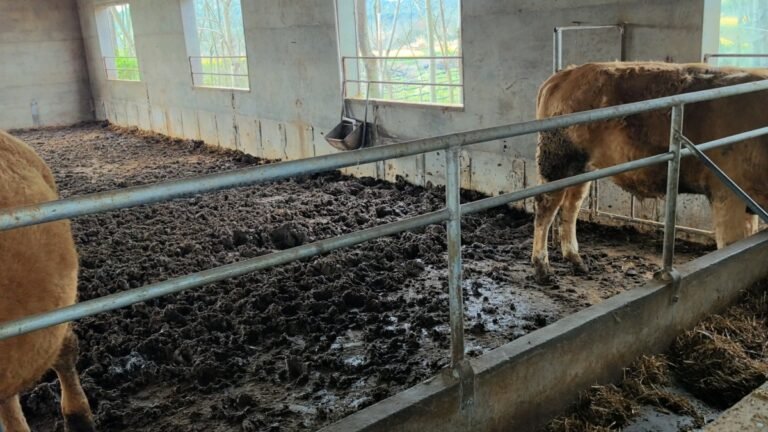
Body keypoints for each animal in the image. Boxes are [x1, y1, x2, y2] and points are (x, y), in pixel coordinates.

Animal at [531, 62, 768, 282]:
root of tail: (565, 73)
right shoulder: (729, 197)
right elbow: (731, 251)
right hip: (558, 162)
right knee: (547, 206)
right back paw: (542, 266)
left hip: (582, 168)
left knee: (571, 205)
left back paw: (575, 259)